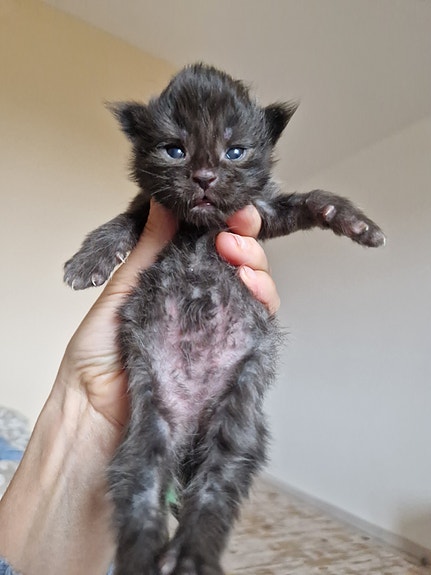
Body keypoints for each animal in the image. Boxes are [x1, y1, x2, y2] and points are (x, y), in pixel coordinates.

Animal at [64, 63, 385, 575]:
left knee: (214, 492)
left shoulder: (260, 215)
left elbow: (306, 200)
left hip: (237, 421)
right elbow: (122, 220)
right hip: (148, 426)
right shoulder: (148, 207)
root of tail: (190, 433)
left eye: (236, 151)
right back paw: (149, 558)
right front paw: (89, 260)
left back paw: (190, 557)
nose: (205, 177)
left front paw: (354, 221)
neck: (198, 228)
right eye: (174, 149)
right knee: (142, 492)